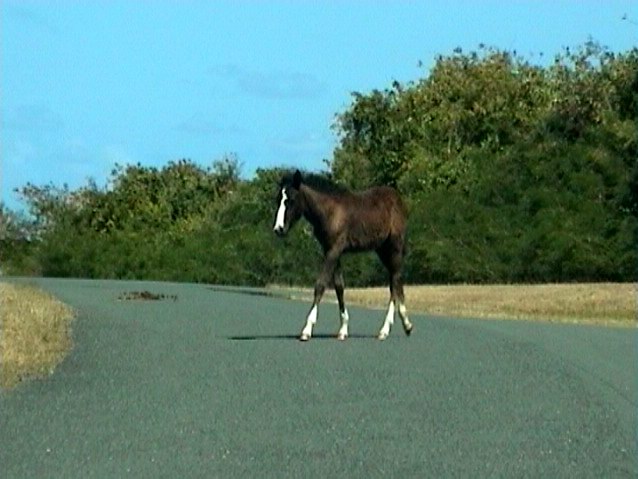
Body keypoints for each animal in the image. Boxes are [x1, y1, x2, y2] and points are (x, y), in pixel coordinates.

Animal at [274, 170, 416, 342]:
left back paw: (390, 329)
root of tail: (398, 199)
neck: (330, 211)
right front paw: (343, 330)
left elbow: (320, 284)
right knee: (395, 282)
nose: (278, 229)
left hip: (394, 247)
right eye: (278, 200)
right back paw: (401, 327)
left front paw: (307, 330)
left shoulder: (334, 250)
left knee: (395, 282)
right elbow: (339, 287)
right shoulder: (331, 251)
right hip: (382, 250)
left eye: (291, 200)